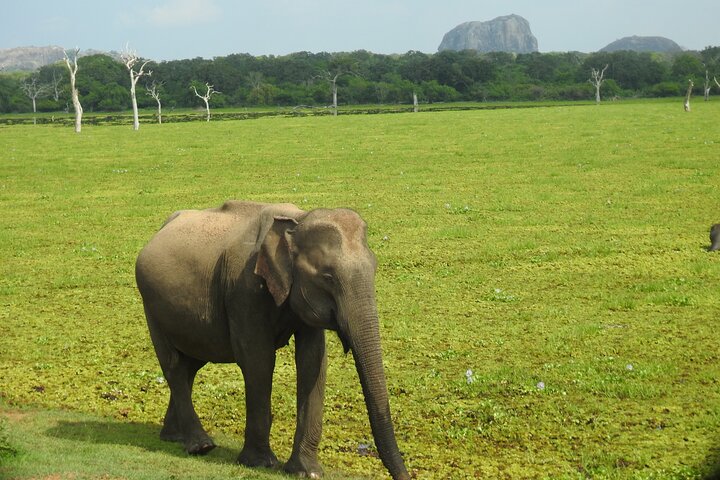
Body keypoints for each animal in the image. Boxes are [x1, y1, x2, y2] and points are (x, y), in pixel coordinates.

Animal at [135, 200, 410, 480]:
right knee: (174, 366)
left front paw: (306, 472)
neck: (296, 220)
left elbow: (313, 361)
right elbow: (258, 360)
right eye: (327, 277)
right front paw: (260, 463)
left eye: (374, 268)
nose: (407, 476)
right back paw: (200, 445)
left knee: (190, 365)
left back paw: (173, 437)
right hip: (151, 306)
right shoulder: (244, 288)